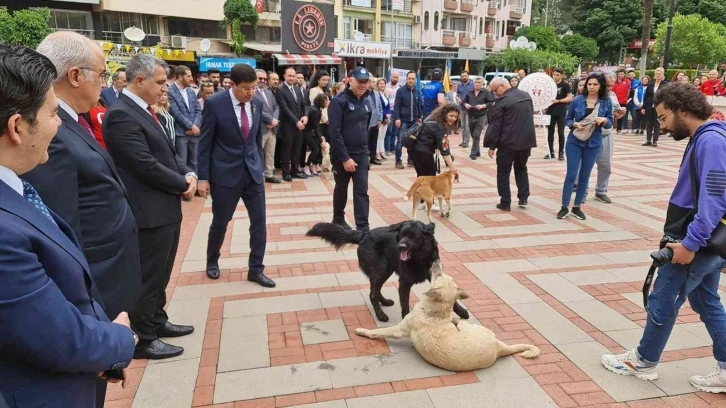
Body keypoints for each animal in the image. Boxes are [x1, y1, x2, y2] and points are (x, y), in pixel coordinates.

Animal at [304, 220, 470, 322]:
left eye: (413, 236)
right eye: (401, 235)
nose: (400, 247)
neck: (418, 258)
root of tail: (364, 234)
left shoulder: (435, 274)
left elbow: (452, 297)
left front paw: (461, 312)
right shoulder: (404, 282)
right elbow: (405, 307)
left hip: (386, 269)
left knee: (375, 291)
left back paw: (384, 302)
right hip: (380, 269)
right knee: (372, 294)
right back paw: (380, 315)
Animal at [358, 260, 540, 372]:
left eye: (439, 275)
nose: (436, 261)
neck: (436, 313)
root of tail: (499, 347)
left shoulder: (399, 330)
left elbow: (378, 332)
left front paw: (362, 331)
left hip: (469, 327)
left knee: (461, 322)